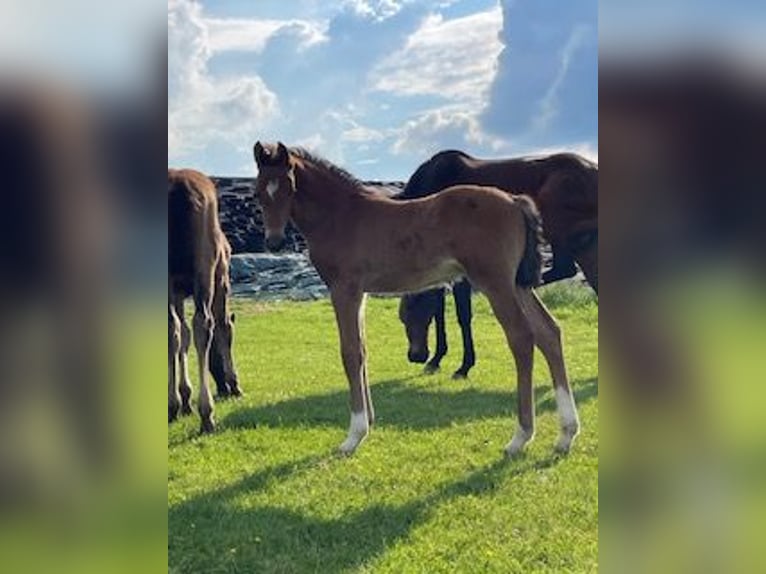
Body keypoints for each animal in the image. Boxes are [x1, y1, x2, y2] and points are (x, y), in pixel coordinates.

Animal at [170, 169, 242, 434]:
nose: (222, 386)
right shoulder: (222, 280)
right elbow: (224, 327)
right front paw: (234, 383)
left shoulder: (176, 290)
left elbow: (181, 336)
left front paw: (183, 399)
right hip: (204, 270)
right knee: (204, 324)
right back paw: (206, 414)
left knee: (177, 329)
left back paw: (174, 407)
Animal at [255, 143, 580, 460]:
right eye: (259, 192)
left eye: (289, 186)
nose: (274, 242)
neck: (342, 215)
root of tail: (514, 201)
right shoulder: (360, 292)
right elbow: (362, 350)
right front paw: (369, 421)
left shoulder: (344, 289)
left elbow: (350, 353)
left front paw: (354, 435)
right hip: (519, 284)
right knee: (549, 332)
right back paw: (566, 434)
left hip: (495, 283)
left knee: (522, 337)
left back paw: (520, 437)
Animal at [400, 151, 604, 380]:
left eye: (409, 309)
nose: (416, 356)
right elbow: (440, 311)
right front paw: (437, 359)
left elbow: (462, 315)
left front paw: (464, 365)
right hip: (587, 247)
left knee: (562, 269)